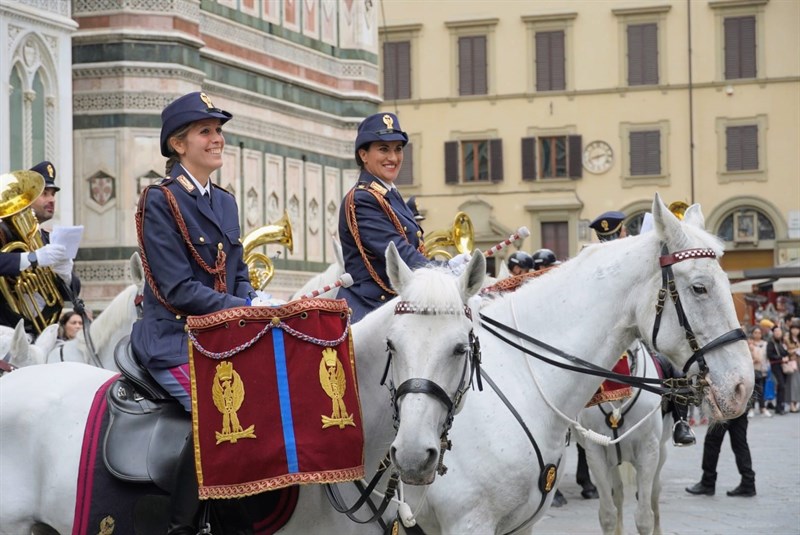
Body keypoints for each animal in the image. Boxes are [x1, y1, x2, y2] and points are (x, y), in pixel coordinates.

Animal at [580, 344, 672, 535]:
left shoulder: (649, 451)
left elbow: (644, 517)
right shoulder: (596, 451)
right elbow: (608, 514)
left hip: (661, 452)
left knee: (654, 493)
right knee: (618, 493)